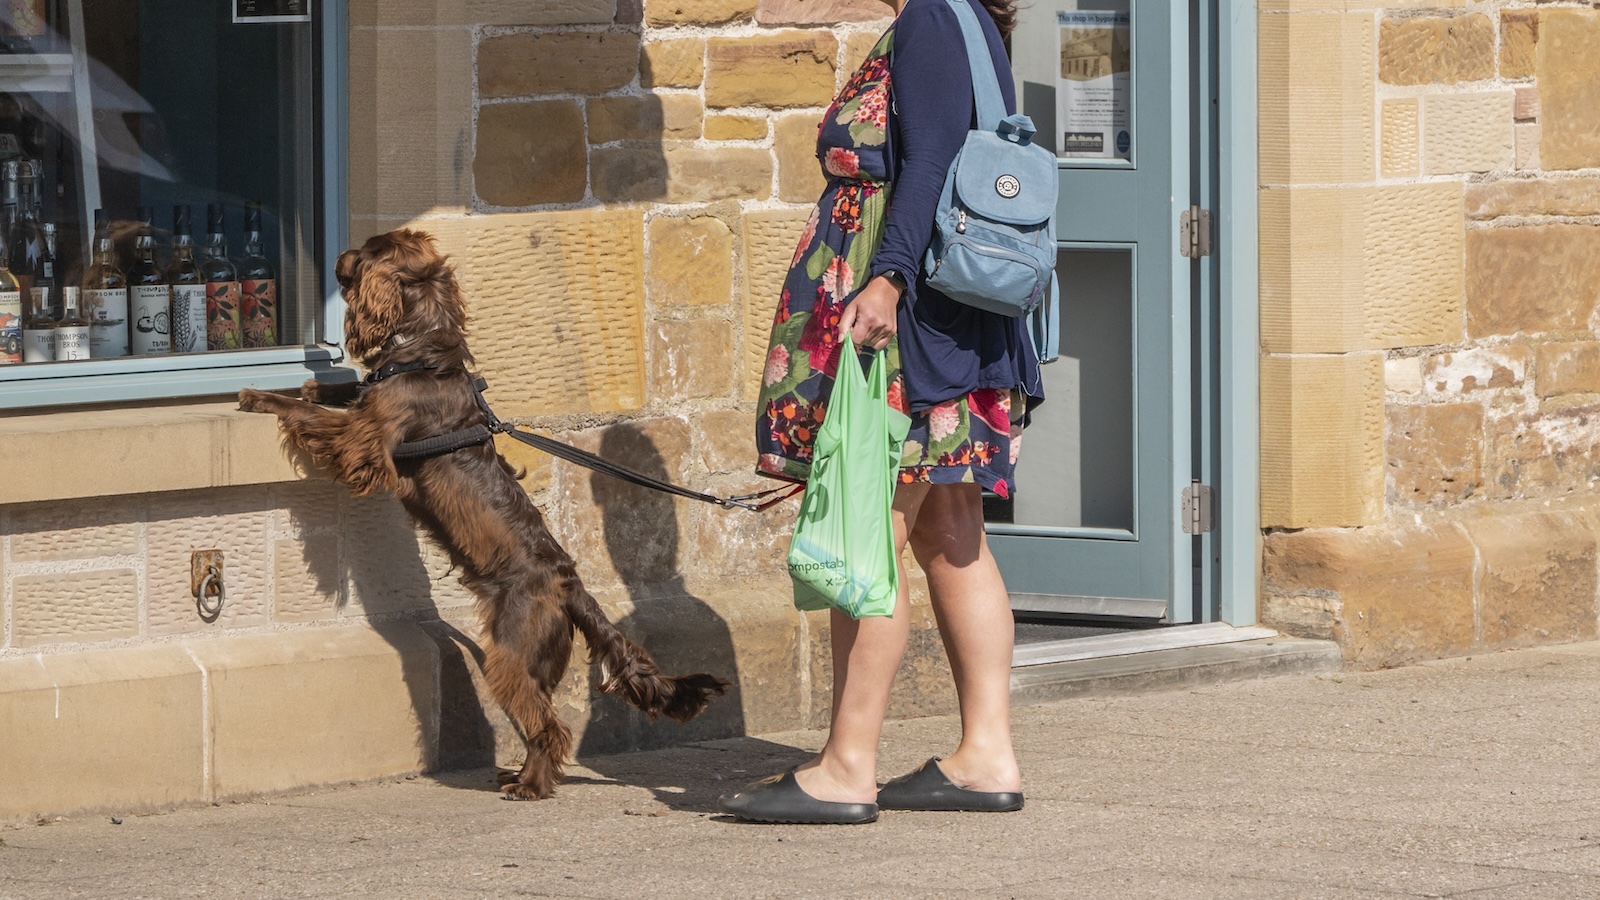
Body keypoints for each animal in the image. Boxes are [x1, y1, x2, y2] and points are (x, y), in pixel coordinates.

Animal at [238, 227, 732, 794]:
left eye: (365, 251)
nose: (337, 254)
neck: (421, 351)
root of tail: (569, 586)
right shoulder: (364, 417)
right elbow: (343, 391)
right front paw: (313, 381)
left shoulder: (365, 443)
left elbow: (314, 415)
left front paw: (258, 395)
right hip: (529, 657)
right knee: (539, 715)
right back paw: (520, 773)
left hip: (512, 651)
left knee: (550, 726)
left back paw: (530, 785)